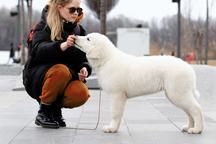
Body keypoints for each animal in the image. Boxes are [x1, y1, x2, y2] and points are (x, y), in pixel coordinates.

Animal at [75, 32, 203, 134]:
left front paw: (111, 129)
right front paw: (115, 128)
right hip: (177, 94)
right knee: (189, 111)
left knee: (196, 109)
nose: (75, 36)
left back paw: (197, 130)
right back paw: (188, 127)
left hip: (177, 93)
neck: (107, 59)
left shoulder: (117, 95)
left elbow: (115, 113)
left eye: (88, 39)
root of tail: (189, 67)